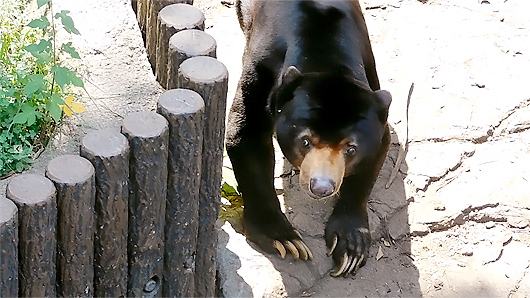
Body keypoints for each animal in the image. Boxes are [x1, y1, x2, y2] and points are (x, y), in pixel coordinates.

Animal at [225, 0, 390, 278]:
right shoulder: (262, 69)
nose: (321, 187)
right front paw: (284, 239)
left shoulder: (372, 85)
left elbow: (377, 150)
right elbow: (245, 133)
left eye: (350, 148)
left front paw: (350, 247)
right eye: (305, 141)